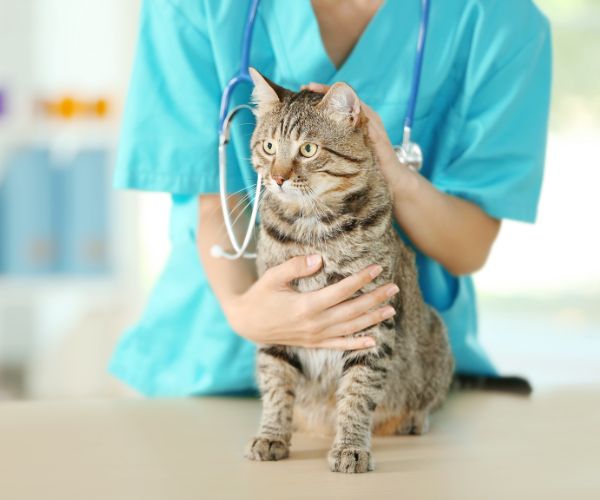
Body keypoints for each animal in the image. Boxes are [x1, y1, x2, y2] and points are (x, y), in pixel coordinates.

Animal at [244, 69, 454, 472]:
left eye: (308, 150)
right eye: (269, 147)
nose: (277, 178)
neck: (313, 230)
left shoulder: (372, 320)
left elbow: (357, 392)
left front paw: (350, 447)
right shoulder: (277, 313)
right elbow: (276, 383)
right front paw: (272, 435)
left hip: (435, 336)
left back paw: (412, 418)